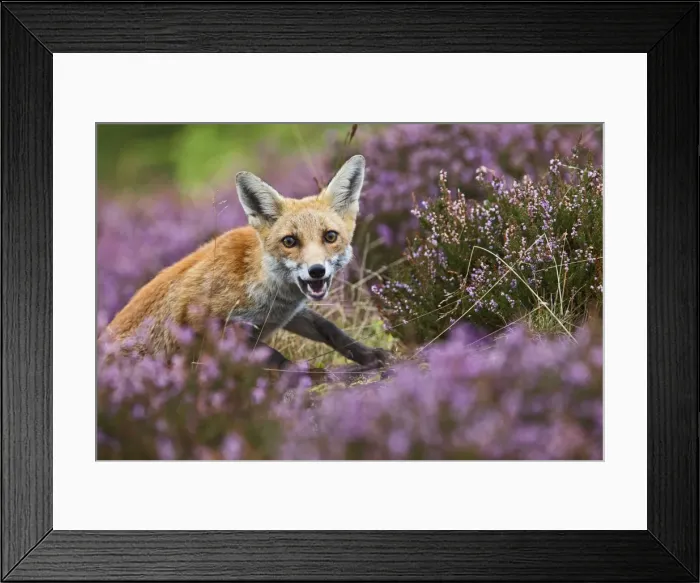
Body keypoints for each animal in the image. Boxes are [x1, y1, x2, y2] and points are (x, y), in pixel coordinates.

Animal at [103, 154, 391, 374]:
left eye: (330, 237)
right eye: (289, 241)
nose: (316, 271)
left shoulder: (287, 314)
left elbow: (330, 329)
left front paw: (368, 355)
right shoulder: (206, 325)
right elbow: (276, 357)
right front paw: (311, 373)